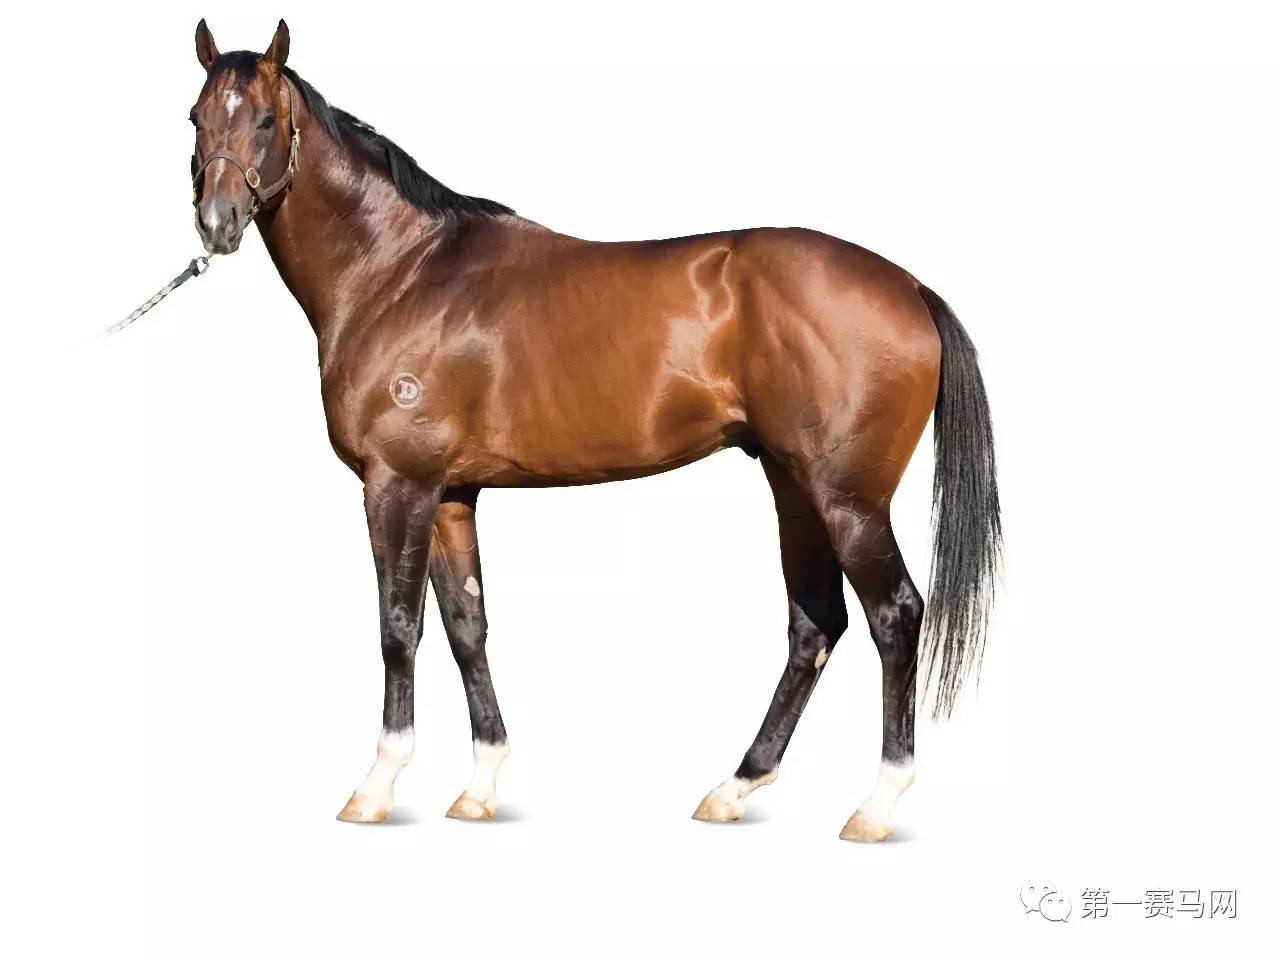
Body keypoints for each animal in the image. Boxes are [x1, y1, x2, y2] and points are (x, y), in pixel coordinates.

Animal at [185, 19, 1000, 841]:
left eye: (265, 119)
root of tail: (910, 287)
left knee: (895, 616)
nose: (216, 225)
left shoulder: (397, 485)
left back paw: (876, 804)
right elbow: (466, 626)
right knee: (816, 625)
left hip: (848, 500)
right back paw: (735, 787)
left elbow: (397, 628)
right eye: (196, 117)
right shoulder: (451, 495)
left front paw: (376, 786)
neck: (402, 273)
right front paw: (480, 787)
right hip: (795, 487)